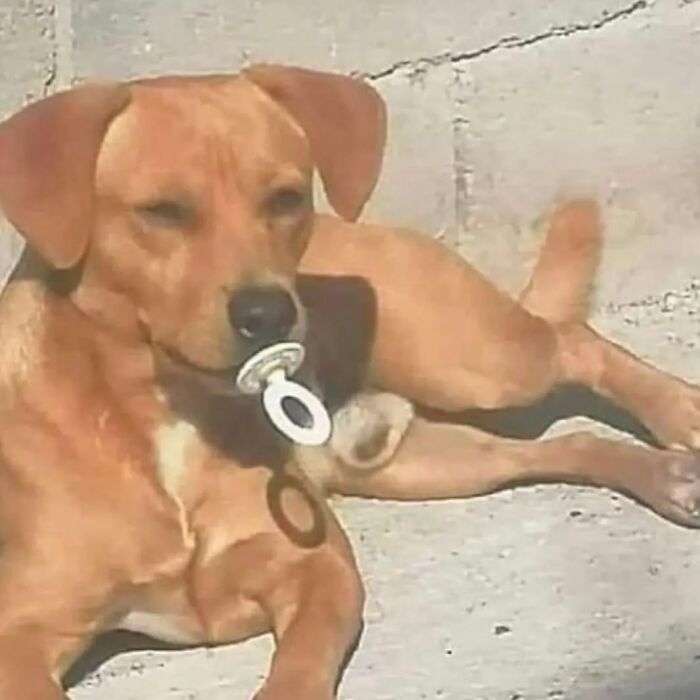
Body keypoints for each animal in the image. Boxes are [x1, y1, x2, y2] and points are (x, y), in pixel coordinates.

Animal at [0, 64, 700, 696]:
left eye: (284, 199)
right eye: (163, 212)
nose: (269, 313)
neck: (159, 419)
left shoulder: (317, 569)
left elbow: (299, 668)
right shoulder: (21, 634)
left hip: (476, 362)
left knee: (571, 343)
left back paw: (679, 417)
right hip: (417, 462)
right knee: (551, 447)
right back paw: (665, 475)